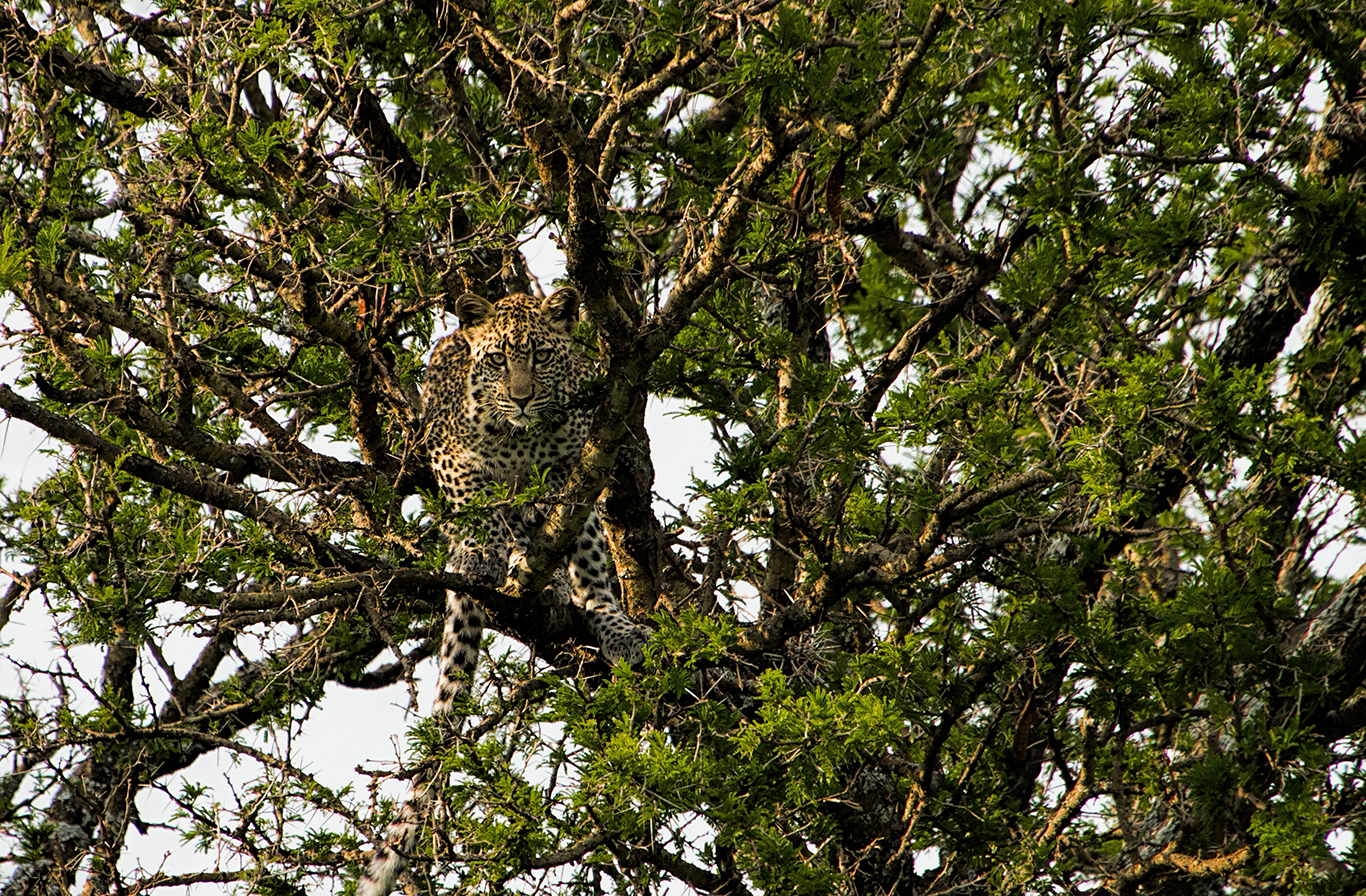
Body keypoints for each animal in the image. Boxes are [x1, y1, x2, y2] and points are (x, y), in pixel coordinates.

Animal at [357, 287, 648, 896]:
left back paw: (588, 608)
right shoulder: (454, 459)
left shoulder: (572, 474)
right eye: (496, 360)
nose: (520, 398)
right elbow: (481, 509)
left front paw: (589, 603)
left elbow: (579, 548)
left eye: (540, 356)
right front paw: (486, 554)